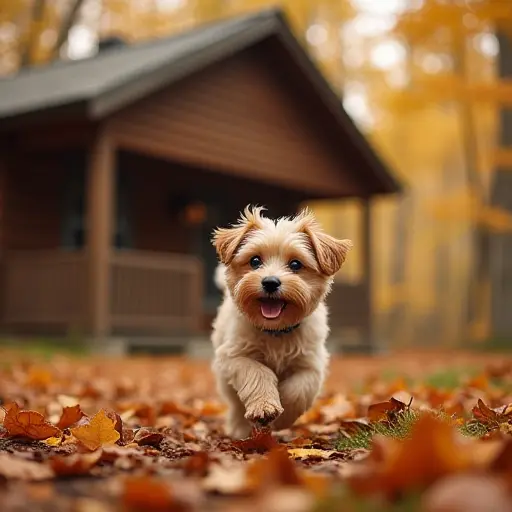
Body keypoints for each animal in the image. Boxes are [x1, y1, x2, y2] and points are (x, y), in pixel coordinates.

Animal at [210, 206, 350, 438]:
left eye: (295, 264)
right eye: (255, 261)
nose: (270, 282)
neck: (275, 331)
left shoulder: (311, 364)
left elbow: (297, 391)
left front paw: (282, 416)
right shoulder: (233, 355)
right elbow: (258, 372)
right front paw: (265, 407)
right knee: (236, 406)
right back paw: (240, 430)